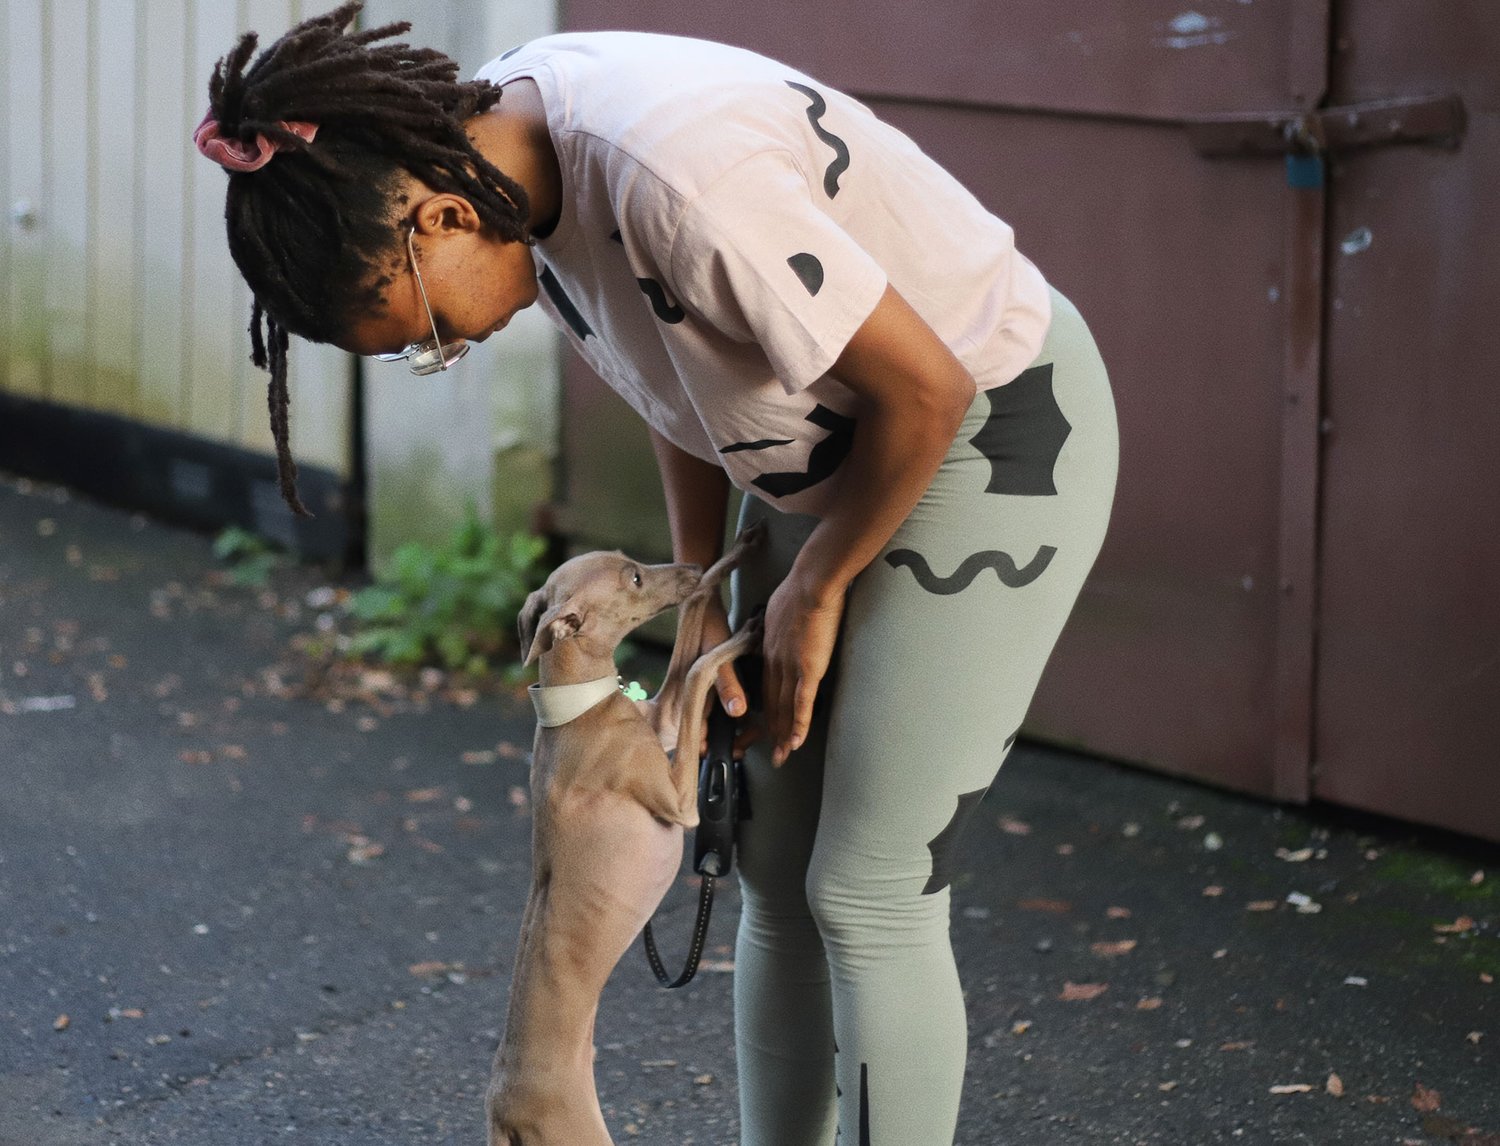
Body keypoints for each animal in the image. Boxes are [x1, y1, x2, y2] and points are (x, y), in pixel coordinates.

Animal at [486, 525, 762, 1146]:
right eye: (634, 577)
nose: (688, 565)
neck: (578, 708)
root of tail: (502, 1108)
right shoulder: (680, 802)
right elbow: (699, 670)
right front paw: (741, 636)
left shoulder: (663, 720)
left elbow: (687, 645)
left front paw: (730, 559)